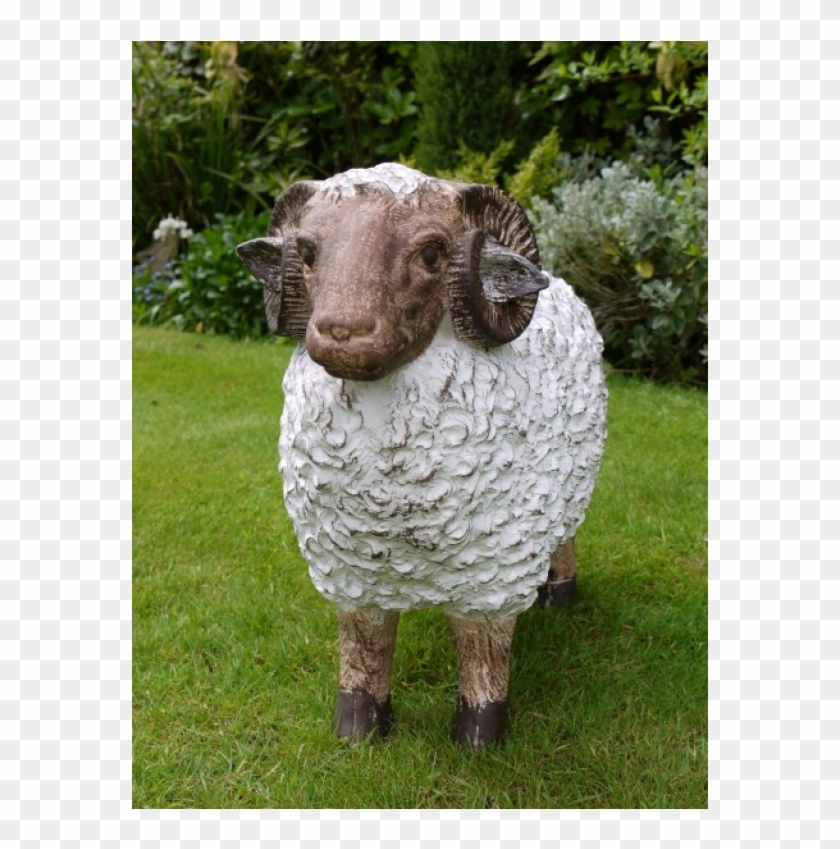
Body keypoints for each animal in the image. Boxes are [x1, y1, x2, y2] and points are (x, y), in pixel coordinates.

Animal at [237, 163, 607, 748]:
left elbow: (482, 654)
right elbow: (364, 647)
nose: (342, 332)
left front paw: (478, 739)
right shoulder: (351, 567)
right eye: (308, 252)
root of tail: (564, 285)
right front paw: (358, 730)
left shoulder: (491, 576)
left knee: (566, 539)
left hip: (566, 493)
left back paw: (559, 595)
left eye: (433, 253)